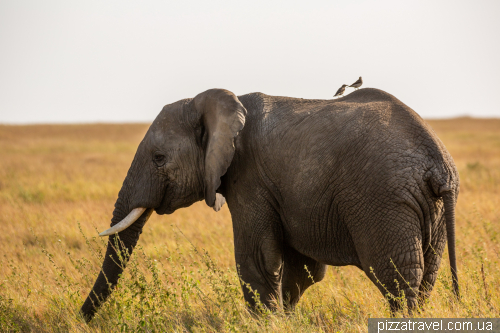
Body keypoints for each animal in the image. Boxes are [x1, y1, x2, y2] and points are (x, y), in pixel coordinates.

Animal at [80, 87, 458, 320]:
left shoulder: (250, 178)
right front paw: (286, 319)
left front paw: (267, 322)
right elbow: (303, 270)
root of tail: (439, 163)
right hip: (428, 211)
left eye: (159, 158)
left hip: (384, 200)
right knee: (426, 277)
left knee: (399, 279)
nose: (80, 317)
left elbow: (257, 259)